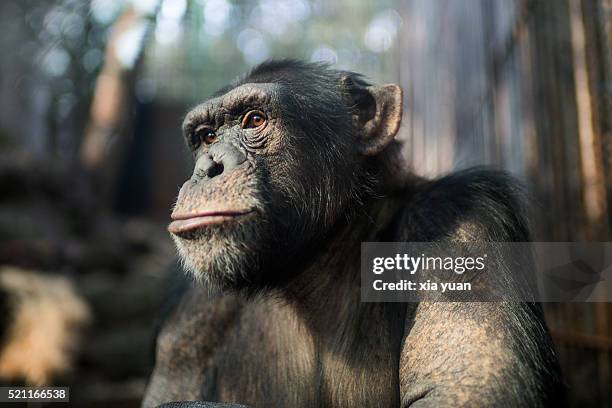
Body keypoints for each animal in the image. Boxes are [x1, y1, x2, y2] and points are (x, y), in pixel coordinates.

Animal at [142, 59, 564, 406]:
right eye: (207, 137)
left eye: (254, 120)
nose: (209, 168)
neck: (314, 268)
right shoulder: (191, 313)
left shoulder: (463, 217)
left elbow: (466, 387)